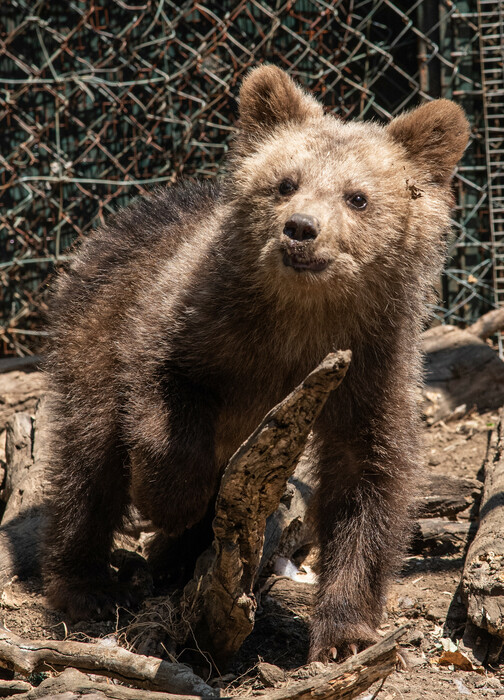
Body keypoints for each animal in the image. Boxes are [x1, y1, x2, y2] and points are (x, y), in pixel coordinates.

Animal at [42, 65, 468, 660]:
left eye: (358, 196)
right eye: (286, 182)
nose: (302, 228)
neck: (301, 320)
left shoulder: (371, 367)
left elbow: (367, 478)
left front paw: (346, 634)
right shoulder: (191, 325)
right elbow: (161, 401)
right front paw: (169, 502)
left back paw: (178, 561)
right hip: (92, 328)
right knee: (89, 455)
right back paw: (88, 585)